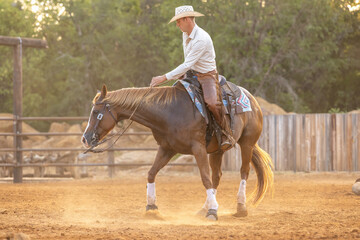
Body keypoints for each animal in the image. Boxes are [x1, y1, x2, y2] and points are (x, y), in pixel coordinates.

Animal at [81, 83, 272, 220]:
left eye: (96, 112)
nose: (85, 138)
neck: (171, 112)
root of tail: (251, 99)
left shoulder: (198, 148)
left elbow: (204, 178)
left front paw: (213, 212)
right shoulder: (167, 148)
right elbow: (151, 173)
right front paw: (151, 207)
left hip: (247, 143)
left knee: (243, 172)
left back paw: (240, 208)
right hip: (217, 151)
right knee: (217, 176)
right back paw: (205, 207)